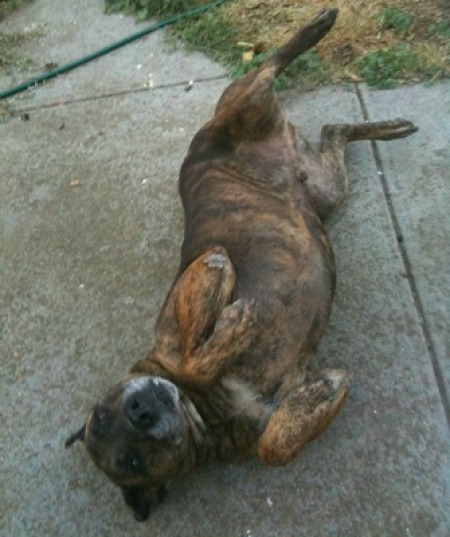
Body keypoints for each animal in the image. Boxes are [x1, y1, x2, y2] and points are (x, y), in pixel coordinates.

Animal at [67, 7, 418, 520]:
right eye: (130, 460)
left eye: (103, 413)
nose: (141, 411)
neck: (204, 409)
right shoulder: (261, 421)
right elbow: (275, 445)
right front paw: (325, 390)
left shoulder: (203, 272)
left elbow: (197, 353)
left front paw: (230, 329)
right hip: (327, 189)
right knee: (334, 130)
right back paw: (387, 125)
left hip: (243, 104)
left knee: (268, 65)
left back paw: (318, 27)